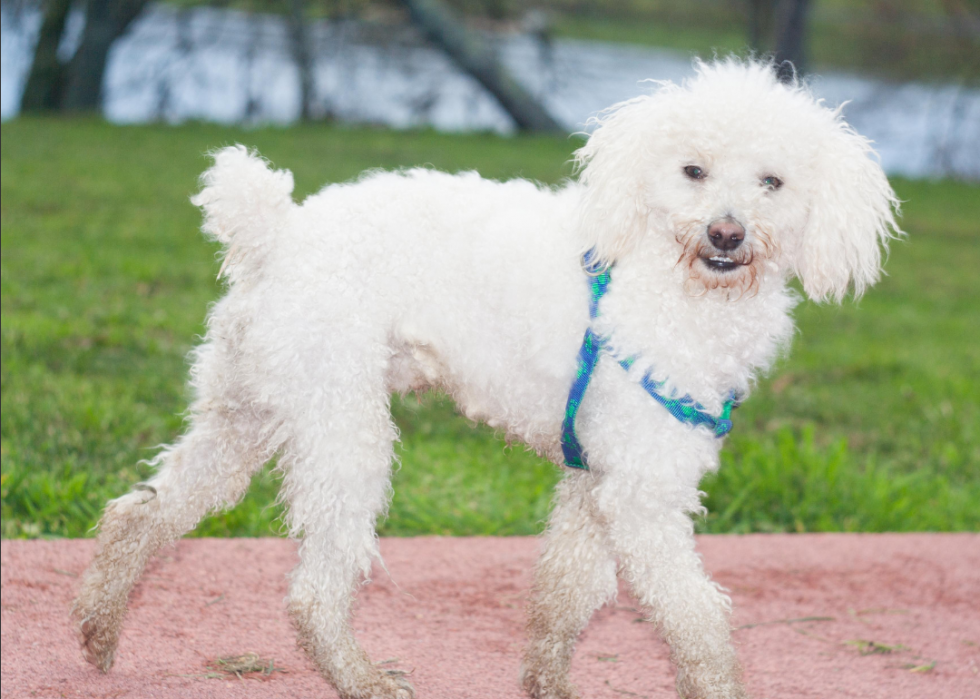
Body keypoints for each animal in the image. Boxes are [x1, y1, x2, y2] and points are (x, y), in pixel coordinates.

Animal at [76, 61, 900, 699]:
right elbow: (696, 614)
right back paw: (359, 677)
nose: (727, 233)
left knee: (141, 512)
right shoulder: (643, 492)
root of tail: (276, 232)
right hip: (343, 425)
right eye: (693, 170)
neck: (672, 278)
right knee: (314, 589)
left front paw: (548, 683)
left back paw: (99, 632)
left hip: (246, 412)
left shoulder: (595, 484)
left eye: (773, 182)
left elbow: (567, 590)